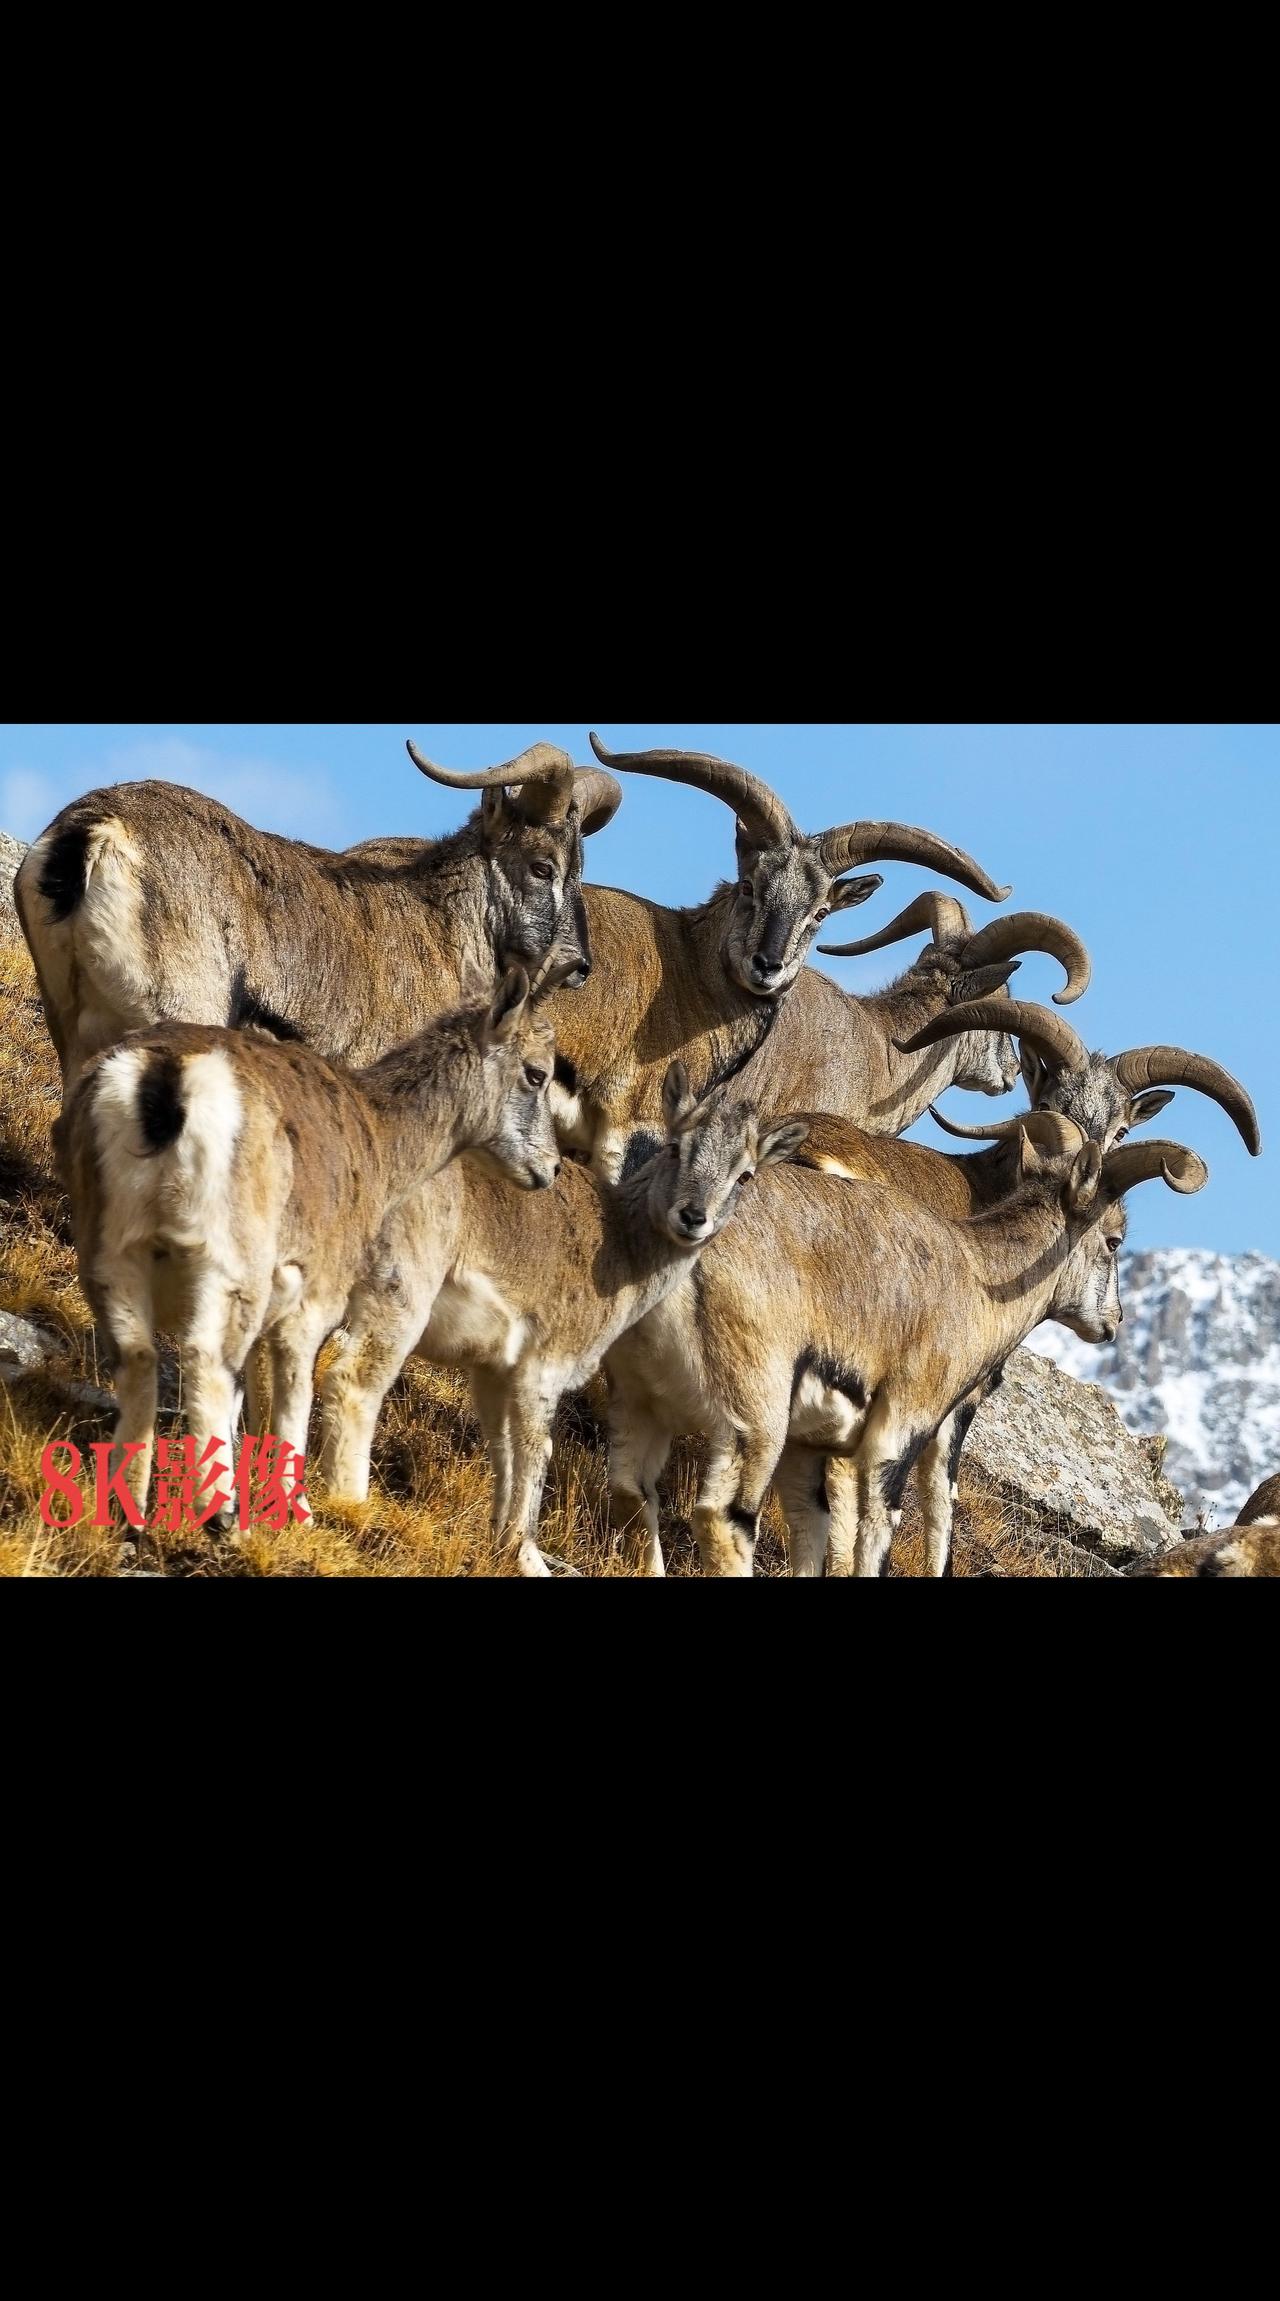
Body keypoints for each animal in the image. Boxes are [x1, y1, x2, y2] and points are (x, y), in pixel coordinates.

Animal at [15, 741, 623, 1093]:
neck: (442, 927)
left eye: (579, 869)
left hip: (73, 1026)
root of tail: (92, 834)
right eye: (542, 867)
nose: (578, 965)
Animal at [55, 966, 568, 1532]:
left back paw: (128, 1515)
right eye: (536, 1074)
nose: (549, 1168)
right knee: (205, 1360)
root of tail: (165, 1077)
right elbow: (295, 1397)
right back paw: (222, 1517)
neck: (379, 1137)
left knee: (138, 1360)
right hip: (228, 1268)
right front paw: (297, 1514)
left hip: (110, 1255)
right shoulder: (314, 1304)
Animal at [313, 1067, 808, 1576]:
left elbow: (504, 1447)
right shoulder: (543, 1370)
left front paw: (502, 1543)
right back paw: (350, 1505)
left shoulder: (495, 1372)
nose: (693, 1217)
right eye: (676, 1146)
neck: (619, 1246)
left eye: (745, 1174)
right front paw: (529, 1556)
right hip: (401, 1297)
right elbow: (537, 1450)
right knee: (353, 1380)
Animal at [602, 1117, 1207, 1578]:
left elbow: (810, 1531)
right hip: (752, 1415)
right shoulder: (900, 1425)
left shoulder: (807, 1446)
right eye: (1114, 1240)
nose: (1113, 1322)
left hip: (636, 1398)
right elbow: (877, 1531)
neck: (974, 1271)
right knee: (720, 1518)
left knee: (632, 1493)